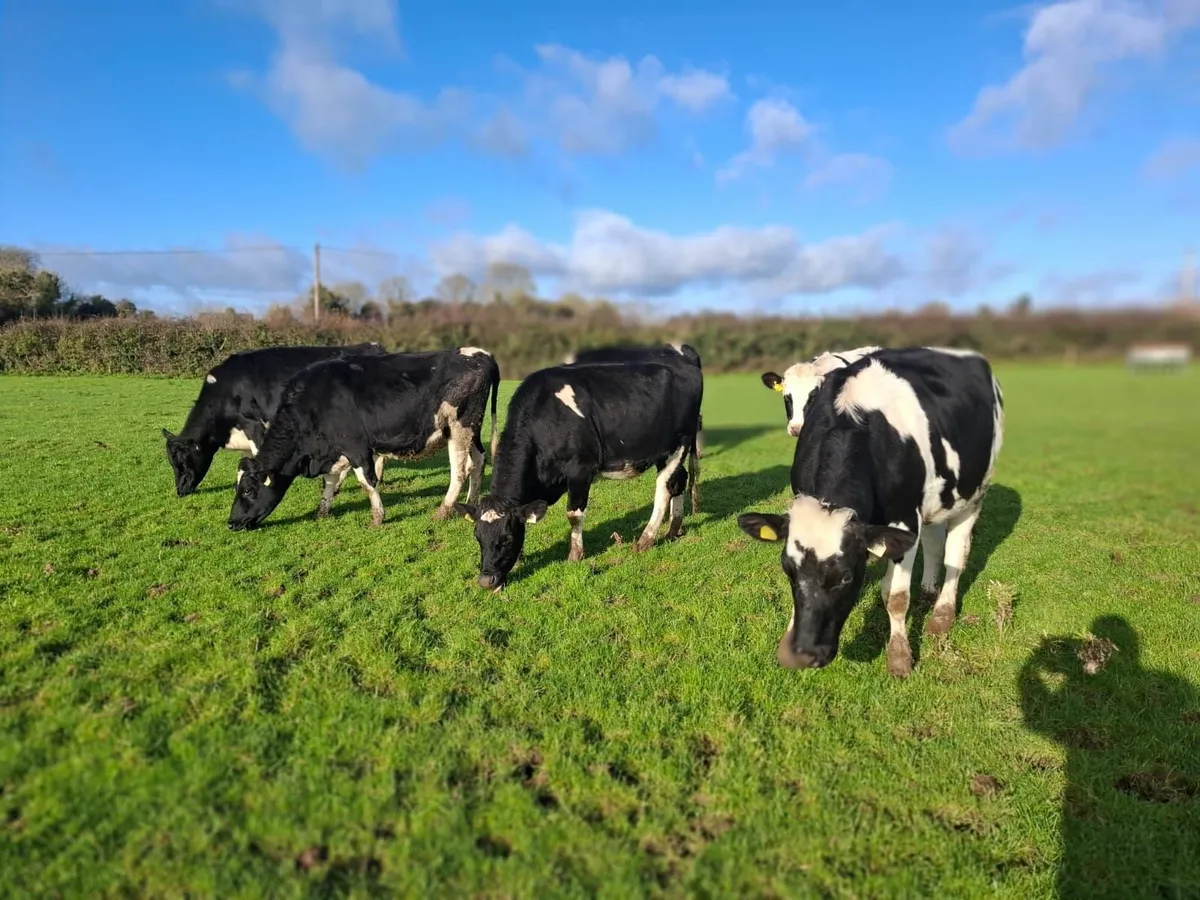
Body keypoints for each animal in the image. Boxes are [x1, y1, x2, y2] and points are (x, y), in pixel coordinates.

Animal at [228, 347, 501, 531]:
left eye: (248, 490)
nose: (231, 523)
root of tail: (481, 354)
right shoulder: (333, 451)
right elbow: (330, 482)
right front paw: (322, 511)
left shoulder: (356, 446)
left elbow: (367, 482)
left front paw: (378, 517)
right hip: (472, 430)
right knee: (479, 461)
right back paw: (470, 503)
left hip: (459, 427)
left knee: (460, 470)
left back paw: (443, 511)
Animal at [455, 359, 703, 591]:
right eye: (478, 537)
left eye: (506, 539)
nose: (486, 581)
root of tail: (685, 364)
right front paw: (519, 559)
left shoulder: (580, 472)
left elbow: (574, 515)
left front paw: (575, 555)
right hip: (666, 453)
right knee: (679, 481)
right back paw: (673, 530)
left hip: (678, 444)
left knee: (664, 488)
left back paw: (646, 539)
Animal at [737, 347, 1004, 678]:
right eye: (788, 570)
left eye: (846, 577)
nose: (804, 654)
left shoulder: (906, 518)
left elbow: (896, 596)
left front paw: (899, 656)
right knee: (933, 540)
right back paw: (929, 589)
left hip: (974, 494)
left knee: (956, 553)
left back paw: (942, 615)